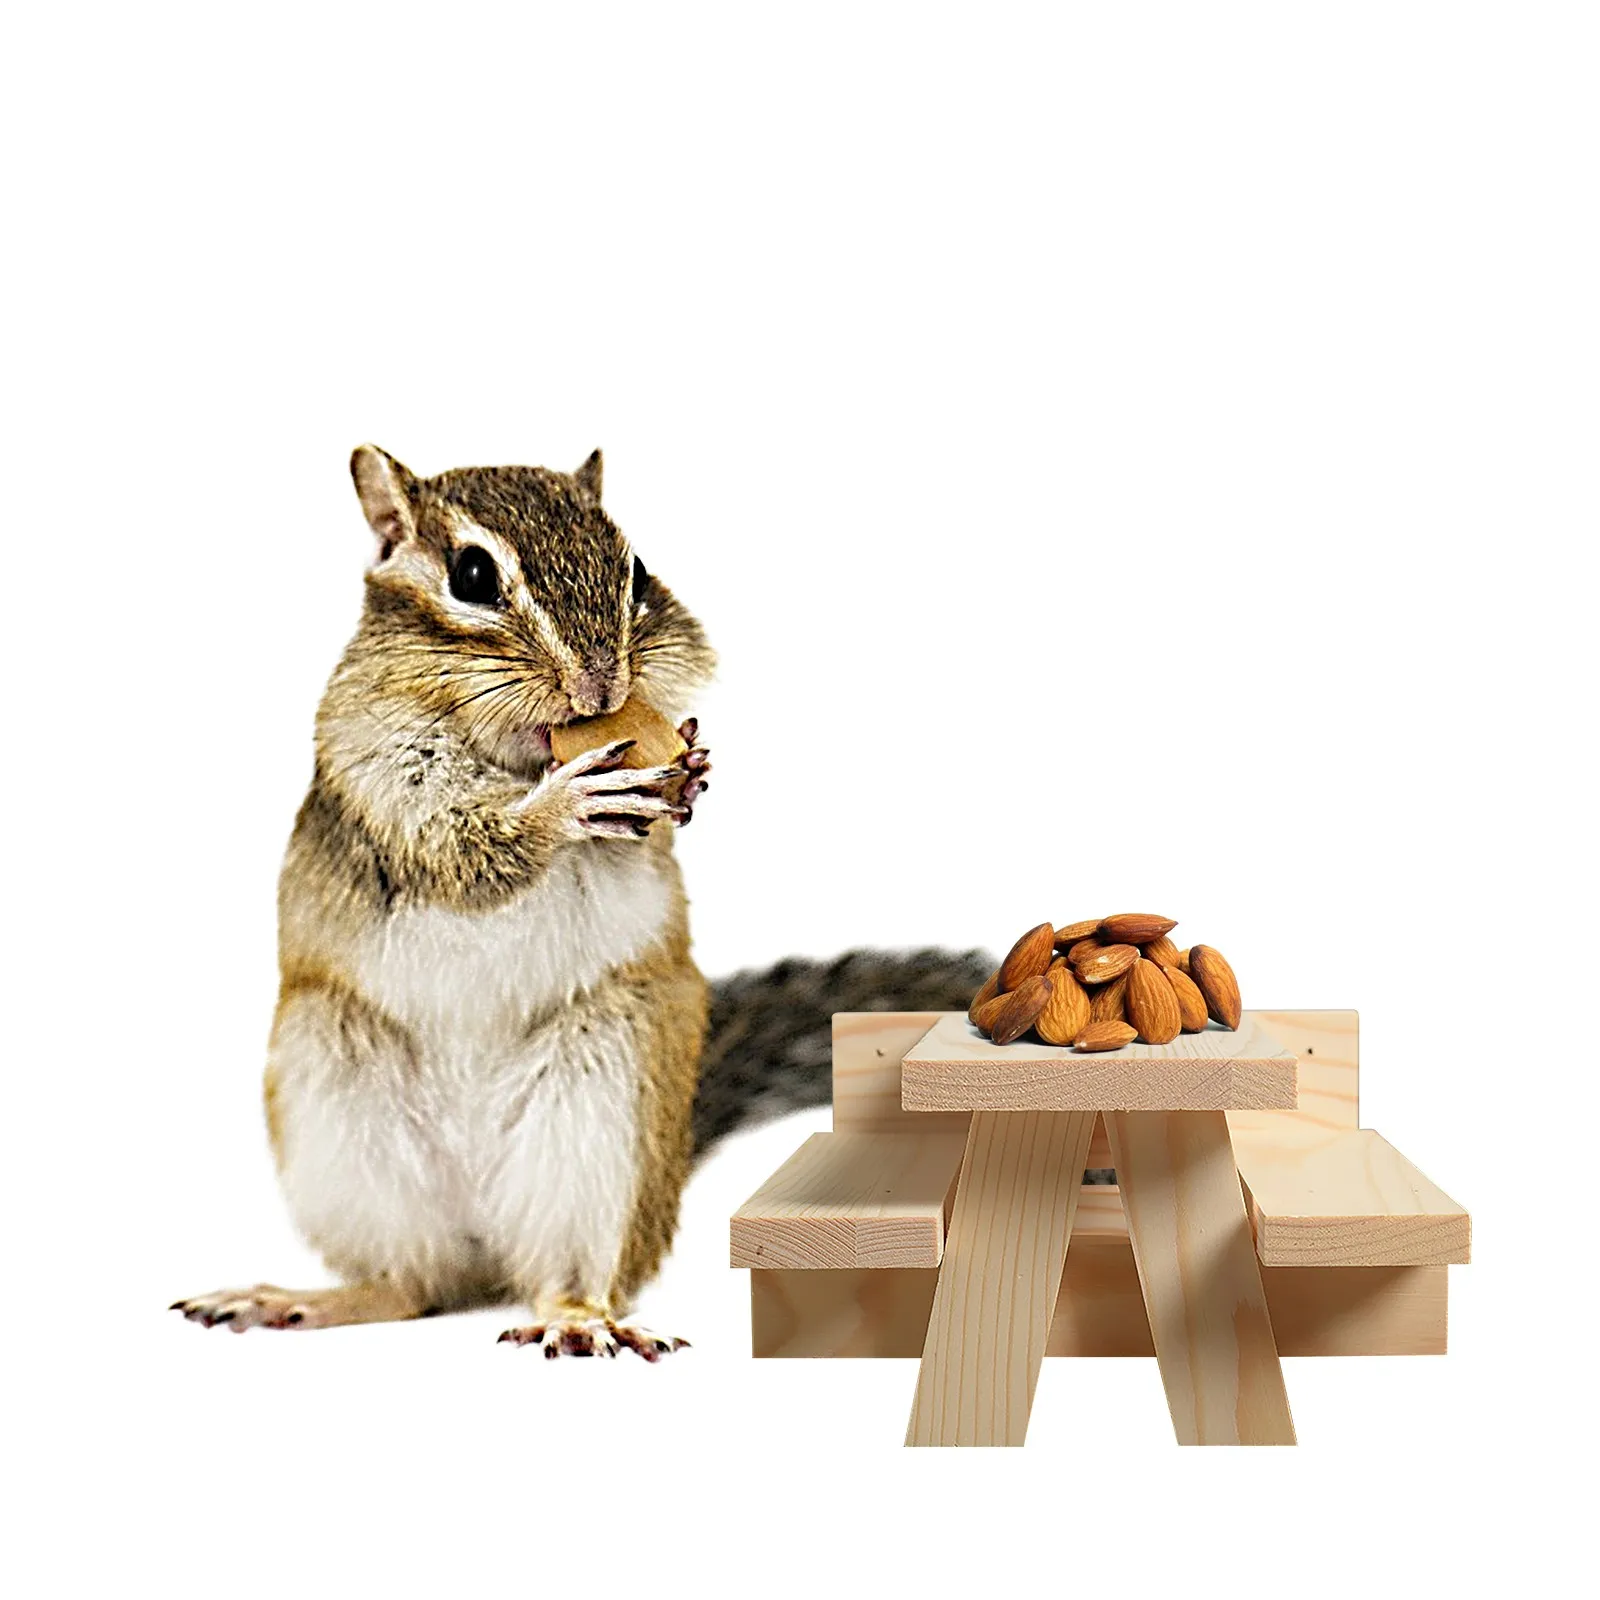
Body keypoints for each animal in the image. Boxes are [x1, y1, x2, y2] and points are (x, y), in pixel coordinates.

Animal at [172, 447, 990, 1359]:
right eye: (471, 575)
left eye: (637, 571)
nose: (600, 688)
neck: (520, 757)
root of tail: (484, 1237)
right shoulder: (376, 759)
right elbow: (456, 836)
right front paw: (562, 806)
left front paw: (690, 770)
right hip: (339, 1107)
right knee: (409, 1284)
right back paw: (303, 1299)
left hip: (608, 1109)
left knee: (554, 1272)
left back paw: (579, 1319)